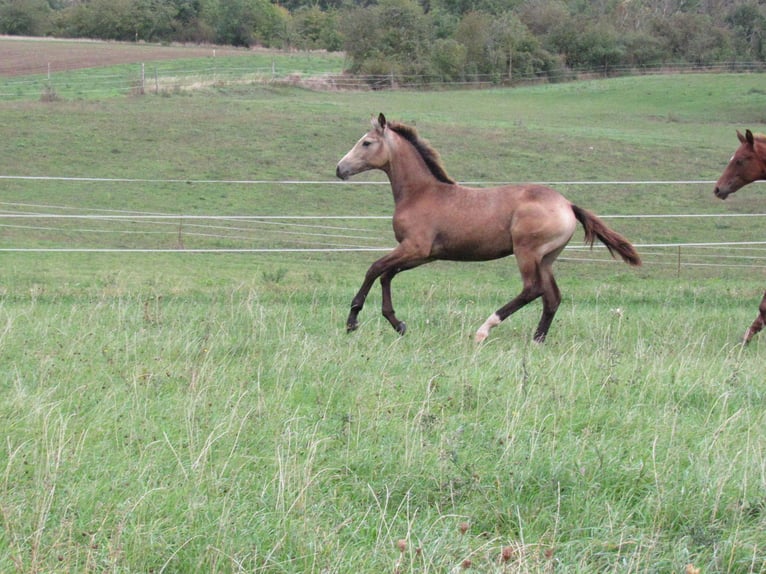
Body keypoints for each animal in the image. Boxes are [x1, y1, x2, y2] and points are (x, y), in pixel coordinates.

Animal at [336, 115, 640, 344]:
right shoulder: (424, 254)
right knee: (552, 297)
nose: (340, 169)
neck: (421, 193)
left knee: (532, 290)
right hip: (546, 258)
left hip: (527, 252)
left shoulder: (414, 247)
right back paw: (537, 340)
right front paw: (397, 323)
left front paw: (353, 321)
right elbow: (387, 275)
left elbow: (375, 269)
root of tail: (567, 204)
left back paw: (484, 330)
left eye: (366, 142)